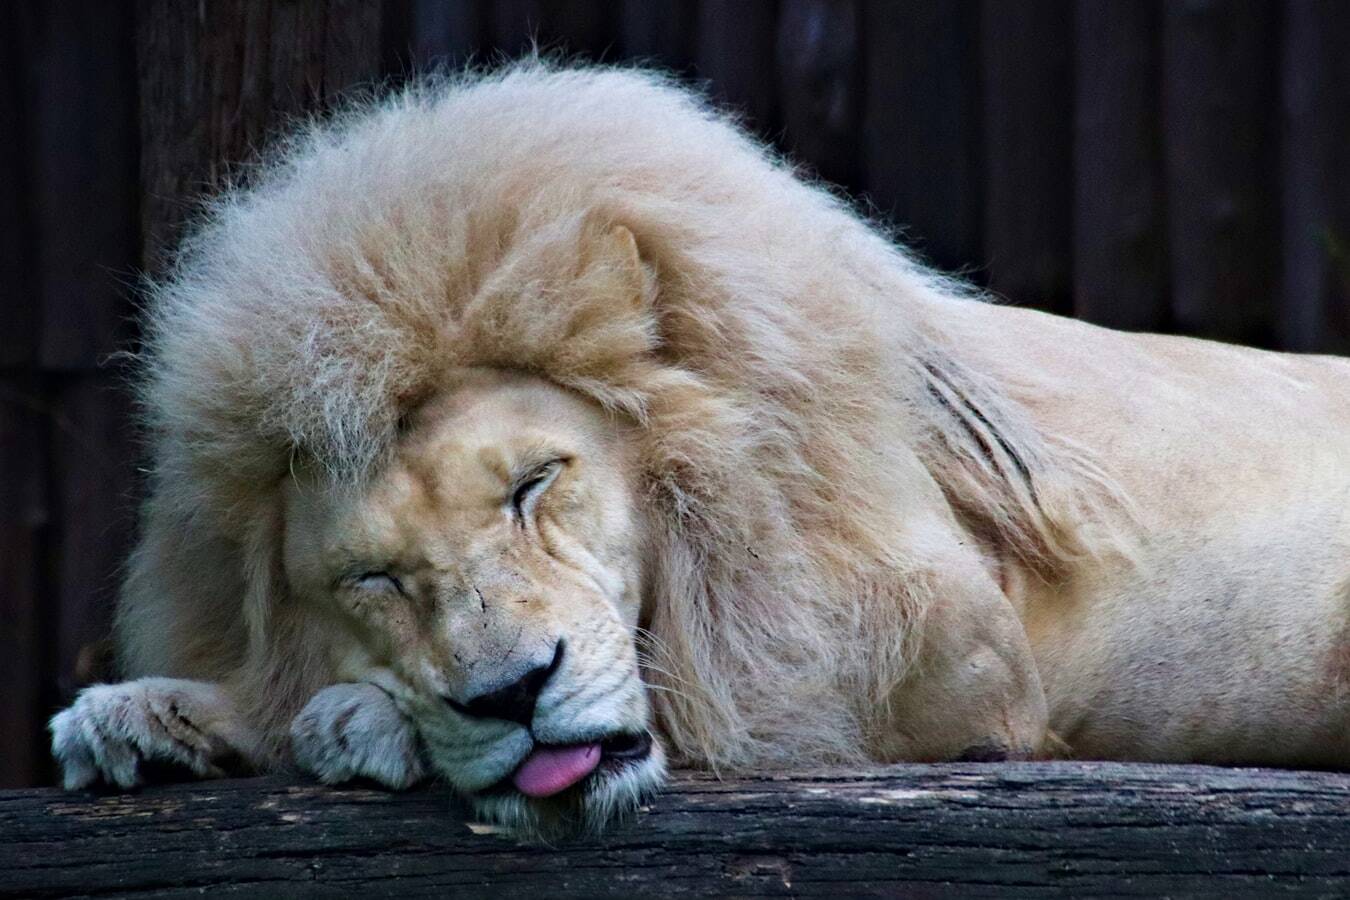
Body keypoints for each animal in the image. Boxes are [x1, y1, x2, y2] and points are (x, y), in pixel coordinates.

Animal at [47, 63, 1350, 836]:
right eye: (373, 576)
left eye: (535, 485)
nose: (512, 696)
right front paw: (148, 718)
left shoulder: (942, 659)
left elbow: (699, 672)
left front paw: (359, 721)